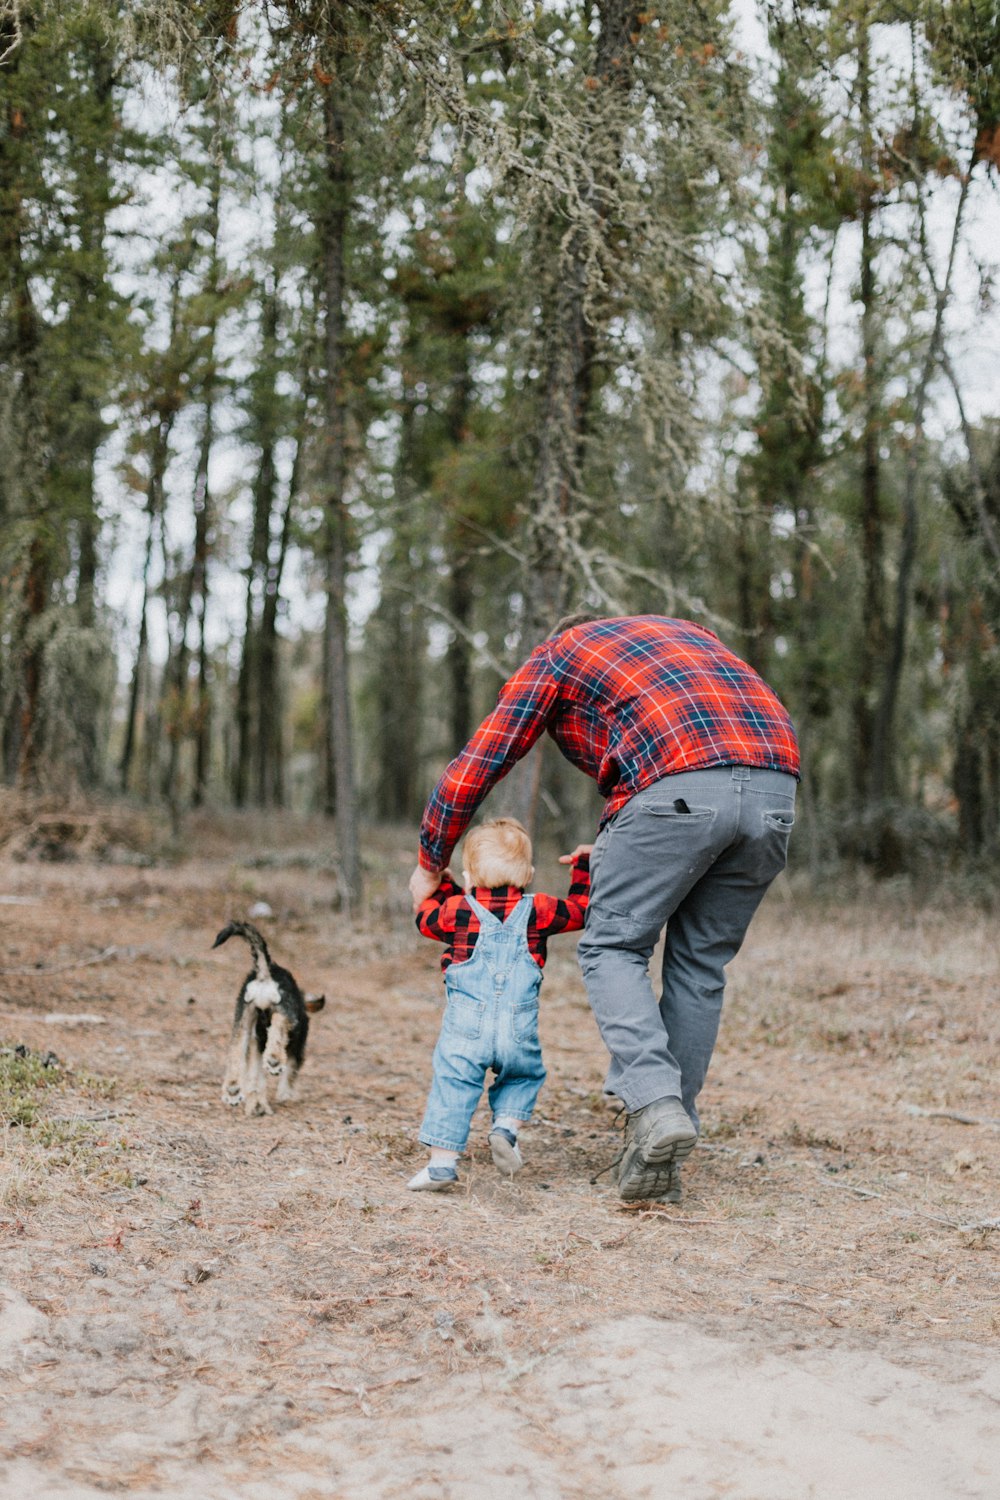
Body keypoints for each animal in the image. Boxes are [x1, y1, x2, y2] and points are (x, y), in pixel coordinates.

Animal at [214, 912, 325, 1116]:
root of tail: (265, 974)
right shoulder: (297, 1051)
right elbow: (290, 1073)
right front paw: (285, 1095)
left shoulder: (255, 1046)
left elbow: (255, 1078)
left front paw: (256, 1103)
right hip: (284, 1010)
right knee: (279, 1024)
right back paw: (274, 1060)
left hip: (244, 1020)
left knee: (235, 1050)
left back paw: (232, 1090)